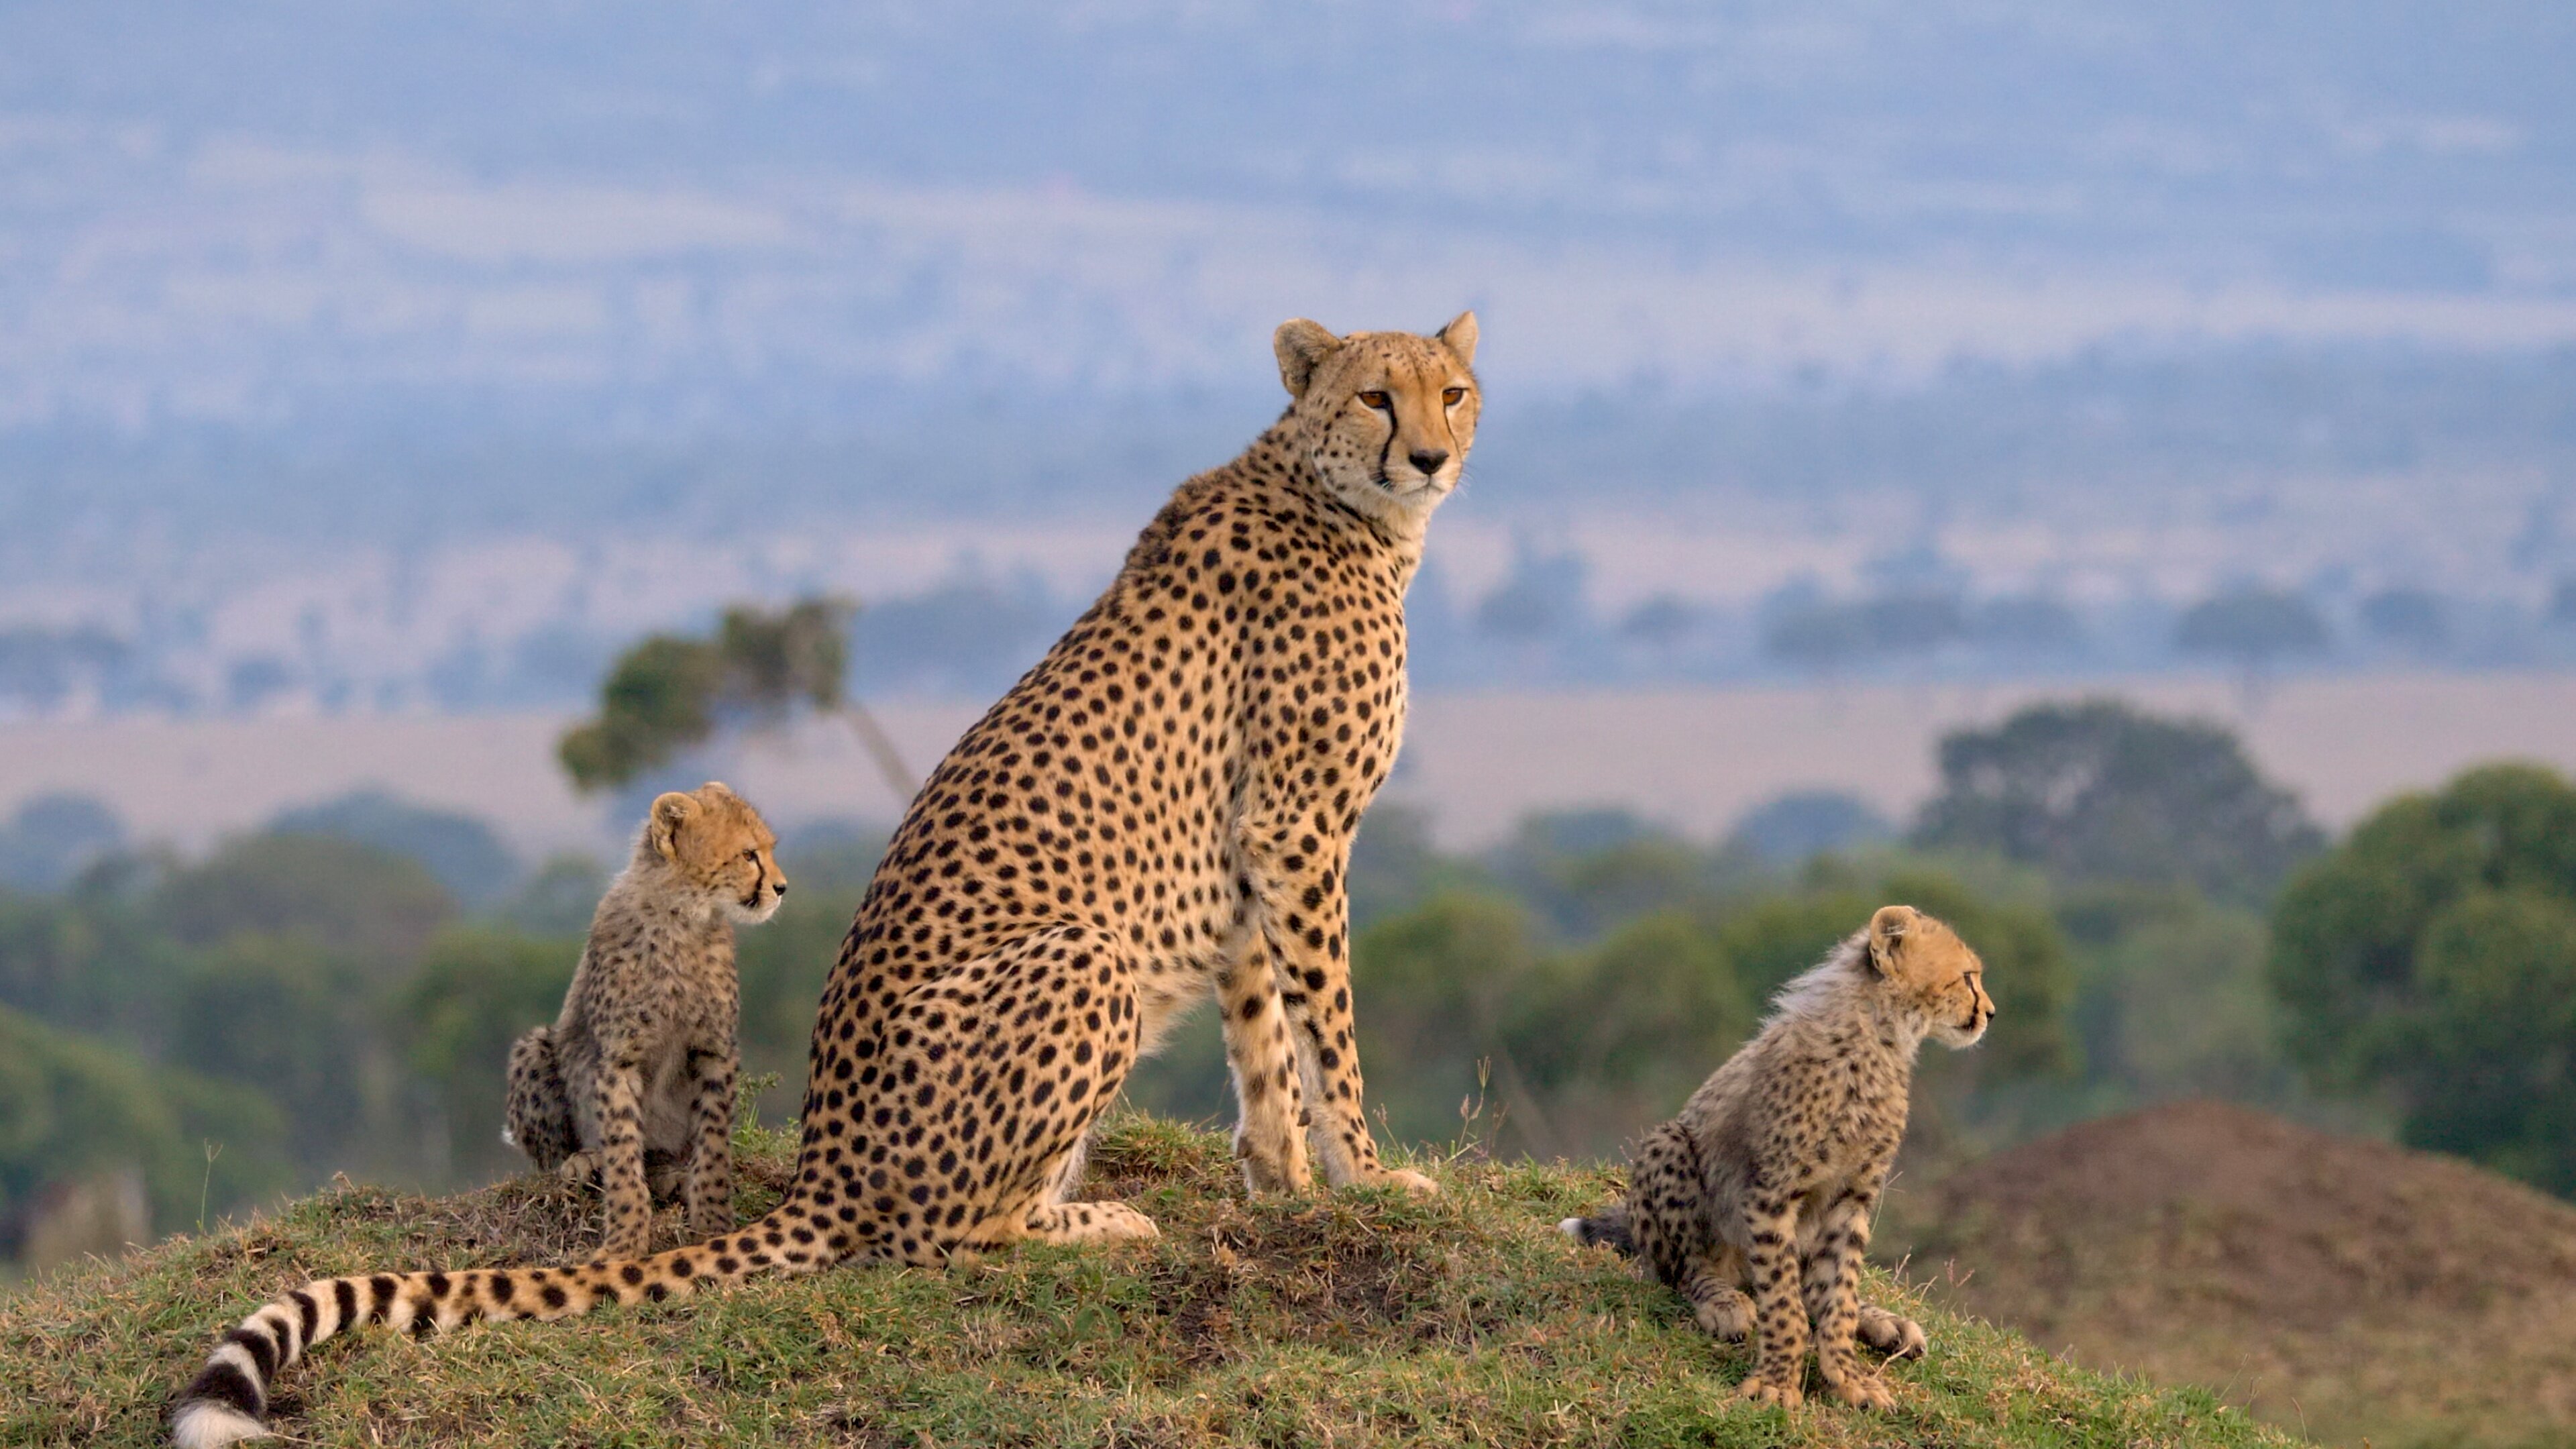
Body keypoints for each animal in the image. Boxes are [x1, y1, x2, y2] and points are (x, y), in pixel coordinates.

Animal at [171, 311, 1483, 1433]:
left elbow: (1265, 1037)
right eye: (1376, 394)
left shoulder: (1255, 851)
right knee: (940, 1237)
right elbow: (1327, 1029)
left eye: (1453, 391)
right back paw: (1097, 1220)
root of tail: (822, 1165)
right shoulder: (1297, 830)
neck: (1337, 499)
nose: (1429, 455)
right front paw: (1372, 1180)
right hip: (1083, 959)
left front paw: (1290, 1185)